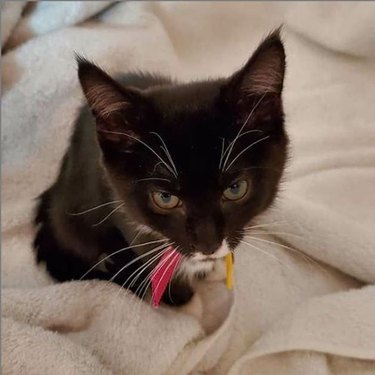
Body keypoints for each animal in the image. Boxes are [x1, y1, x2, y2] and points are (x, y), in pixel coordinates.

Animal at [33, 29, 290, 306]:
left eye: (236, 189)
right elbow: (150, 253)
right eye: (165, 198)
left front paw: (212, 266)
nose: (208, 246)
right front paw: (177, 294)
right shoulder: (123, 212)